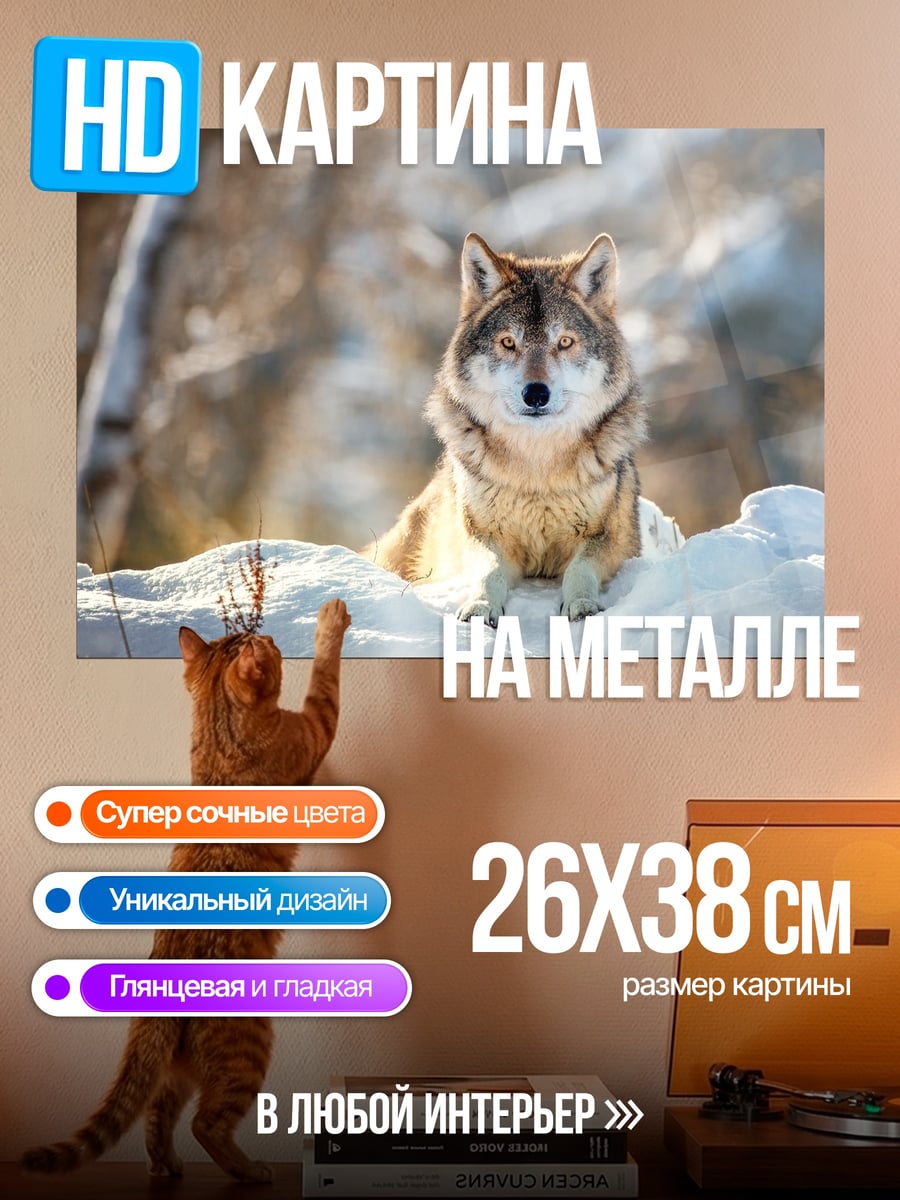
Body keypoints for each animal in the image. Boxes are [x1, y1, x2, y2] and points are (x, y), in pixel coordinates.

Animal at [370, 233, 648, 623]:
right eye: (508, 342)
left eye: (564, 342)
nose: (536, 394)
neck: (536, 471)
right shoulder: (481, 535)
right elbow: (489, 571)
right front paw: (480, 606)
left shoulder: (609, 539)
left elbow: (580, 570)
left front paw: (582, 605)